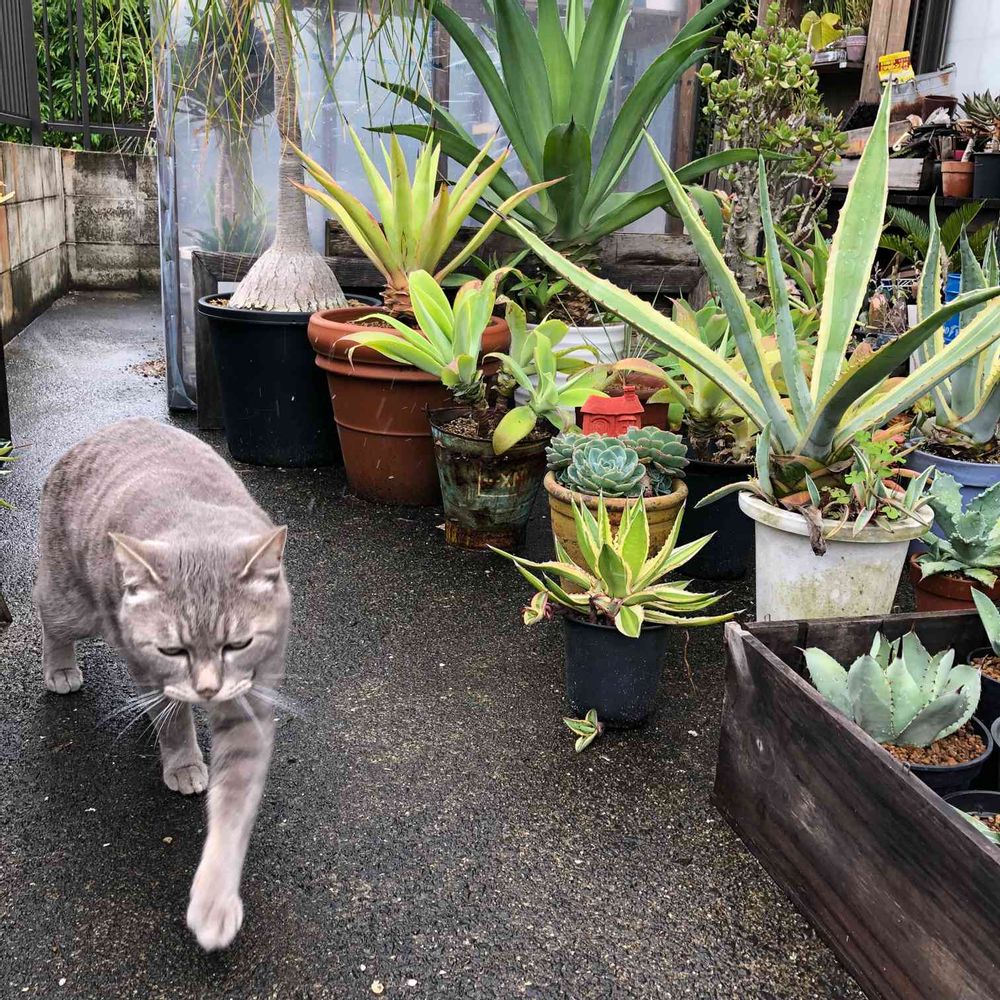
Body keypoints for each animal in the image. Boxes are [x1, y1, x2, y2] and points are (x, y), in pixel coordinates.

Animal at [34, 417, 291, 951]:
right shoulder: (156, 673)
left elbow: (234, 803)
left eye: (238, 643)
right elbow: (174, 725)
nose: (208, 689)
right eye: (173, 650)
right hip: (71, 605)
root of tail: (90, 437)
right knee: (45, 612)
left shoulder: (251, 703)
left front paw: (215, 899)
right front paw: (184, 761)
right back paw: (60, 667)